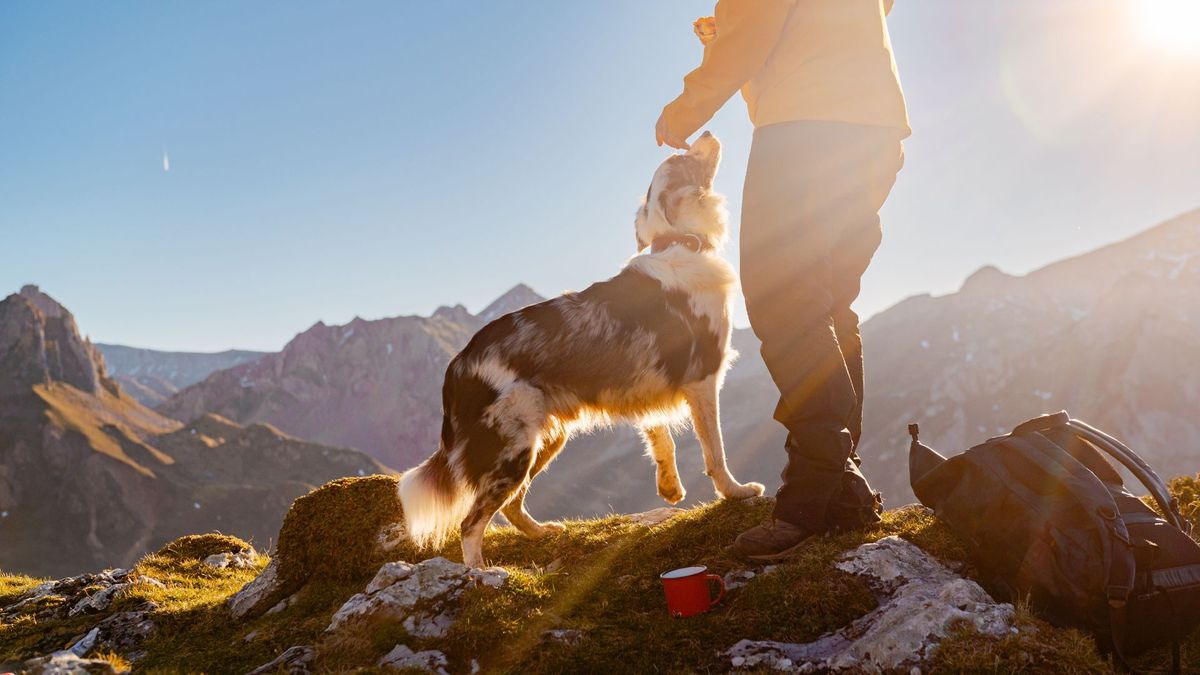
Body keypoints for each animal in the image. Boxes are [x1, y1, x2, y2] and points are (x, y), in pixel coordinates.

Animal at [398, 132, 763, 566]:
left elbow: (661, 437)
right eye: (684, 159)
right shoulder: (703, 378)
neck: (679, 241)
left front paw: (669, 487)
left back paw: (542, 532)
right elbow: (715, 451)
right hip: (512, 448)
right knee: (471, 523)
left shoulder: (647, 384)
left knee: (510, 505)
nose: (704, 134)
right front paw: (736, 492)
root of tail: (456, 368)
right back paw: (481, 574)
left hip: (545, 438)